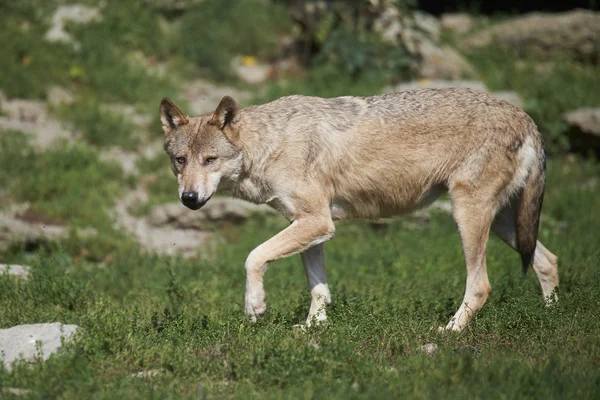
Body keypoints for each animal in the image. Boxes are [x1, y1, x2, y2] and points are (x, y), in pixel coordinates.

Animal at [159, 90, 556, 332]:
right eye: (180, 161)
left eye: (210, 160)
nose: (189, 198)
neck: (270, 144)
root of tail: (526, 118)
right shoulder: (310, 226)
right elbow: (318, 288)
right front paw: (313, 329)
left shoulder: (317, 221)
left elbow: (253, 257)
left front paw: (255, 307)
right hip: (504, 225)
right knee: (548, 261)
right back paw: (552, 318)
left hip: (468, 216)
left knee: (481, 285)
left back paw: (449, 332)